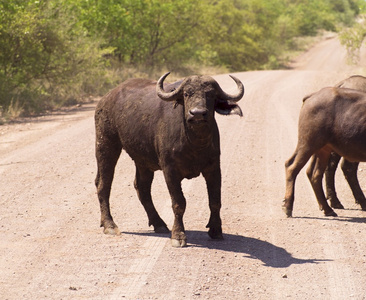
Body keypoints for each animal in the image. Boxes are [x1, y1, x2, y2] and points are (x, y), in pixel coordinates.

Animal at [94, 72, 244, 246]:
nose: (197, 113)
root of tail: (104, 100)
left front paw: (216, 230)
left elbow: (215, 201)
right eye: (187, 94)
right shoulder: (170, 171)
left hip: (142, 161)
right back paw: (110, 225)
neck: (194, 142)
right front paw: (178, 235)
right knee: (103, 184)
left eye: (211, 95)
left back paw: (159, 223)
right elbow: (179, 203)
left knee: (142, 188)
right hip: (106, 145)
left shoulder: (213, 168)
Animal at [284, 83, 366, 217]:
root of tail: (312, 96)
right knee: (291, 166)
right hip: (308, 144)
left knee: (315, 174)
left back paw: (328, 209)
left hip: (323, 150)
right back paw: (288, 207)